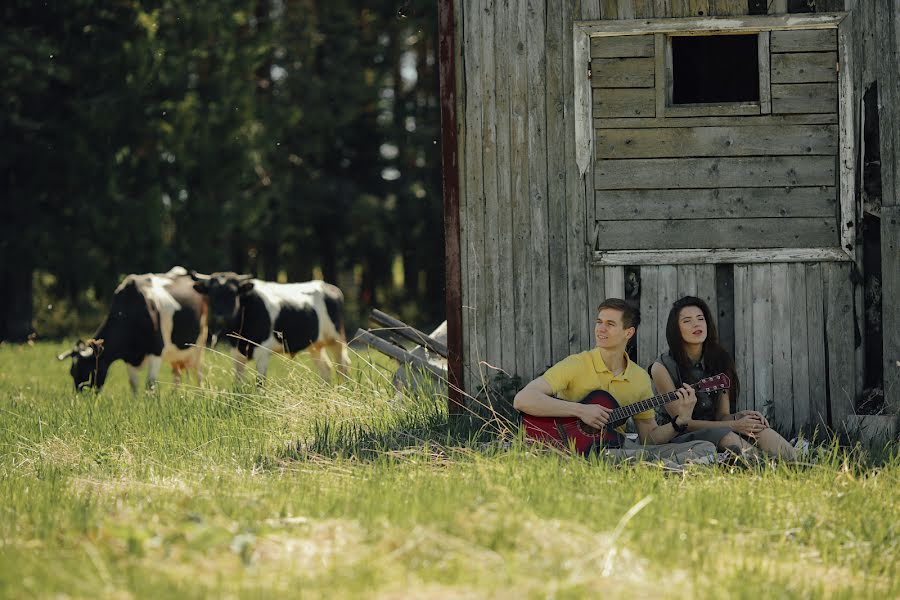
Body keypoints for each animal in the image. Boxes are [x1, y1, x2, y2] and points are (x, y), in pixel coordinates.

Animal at [57, 268, 209, 394]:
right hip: (176, 353)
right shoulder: (128, 357)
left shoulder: (156, 350)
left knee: (198, 372)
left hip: (200, 342)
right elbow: (134, 385)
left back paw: (200, 393)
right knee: (177, 374)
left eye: (88, 369)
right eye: (72, 373)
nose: (80, 398)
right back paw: (176, 395)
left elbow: (150, 385)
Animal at [192, 270, 350, 382]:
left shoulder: (262, 352)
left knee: (343, 365)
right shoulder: (236, 353)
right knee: (326, 368)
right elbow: (238, 384)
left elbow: (260, 382)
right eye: (211, 294)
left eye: (233, 292)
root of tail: (328, 286)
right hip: (315, 345)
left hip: (337, 339)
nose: (221, 315)